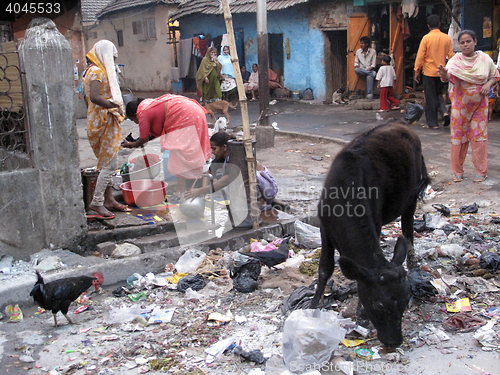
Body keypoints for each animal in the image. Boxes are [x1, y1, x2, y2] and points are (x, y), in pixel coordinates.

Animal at [308, 122, 430, 348]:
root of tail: (401, 125)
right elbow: (324, 269)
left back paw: (413, 265)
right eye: (379, 304)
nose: (395, 341)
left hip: (410, 199)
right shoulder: (325, 229)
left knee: (408, 232)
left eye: (404, 300)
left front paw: (361, 318)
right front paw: (312, 305)